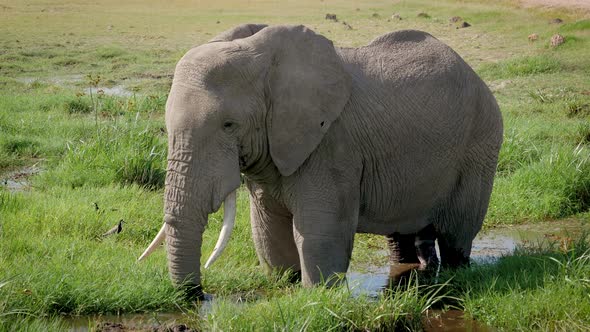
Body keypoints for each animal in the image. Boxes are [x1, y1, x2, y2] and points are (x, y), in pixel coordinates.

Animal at [138, 24, 504, 296]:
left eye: (229, 125)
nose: (198, 295)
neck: (266, 61)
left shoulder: (333, 146)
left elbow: (319, 230)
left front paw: (318, 295)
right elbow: (267, 228)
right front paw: (285, 284)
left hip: (481, 142)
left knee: (457, 231)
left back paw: (454, 273)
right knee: (401, 231)